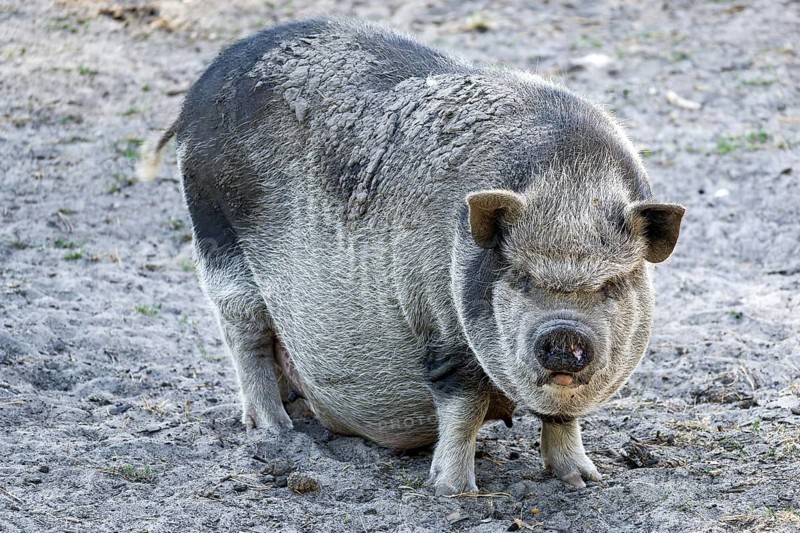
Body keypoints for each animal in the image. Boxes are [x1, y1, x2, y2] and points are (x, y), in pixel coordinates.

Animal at [140, 18, 684, 495]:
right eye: (522, 277)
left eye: (611, 284)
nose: (564, 333)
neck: (571, 186)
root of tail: (202, 85)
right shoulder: (440, 326)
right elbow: (463, 407)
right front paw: (453, 492)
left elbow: (562, 417)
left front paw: (585, 481)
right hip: (216, 238)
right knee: (244, 333)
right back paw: (275, 432)